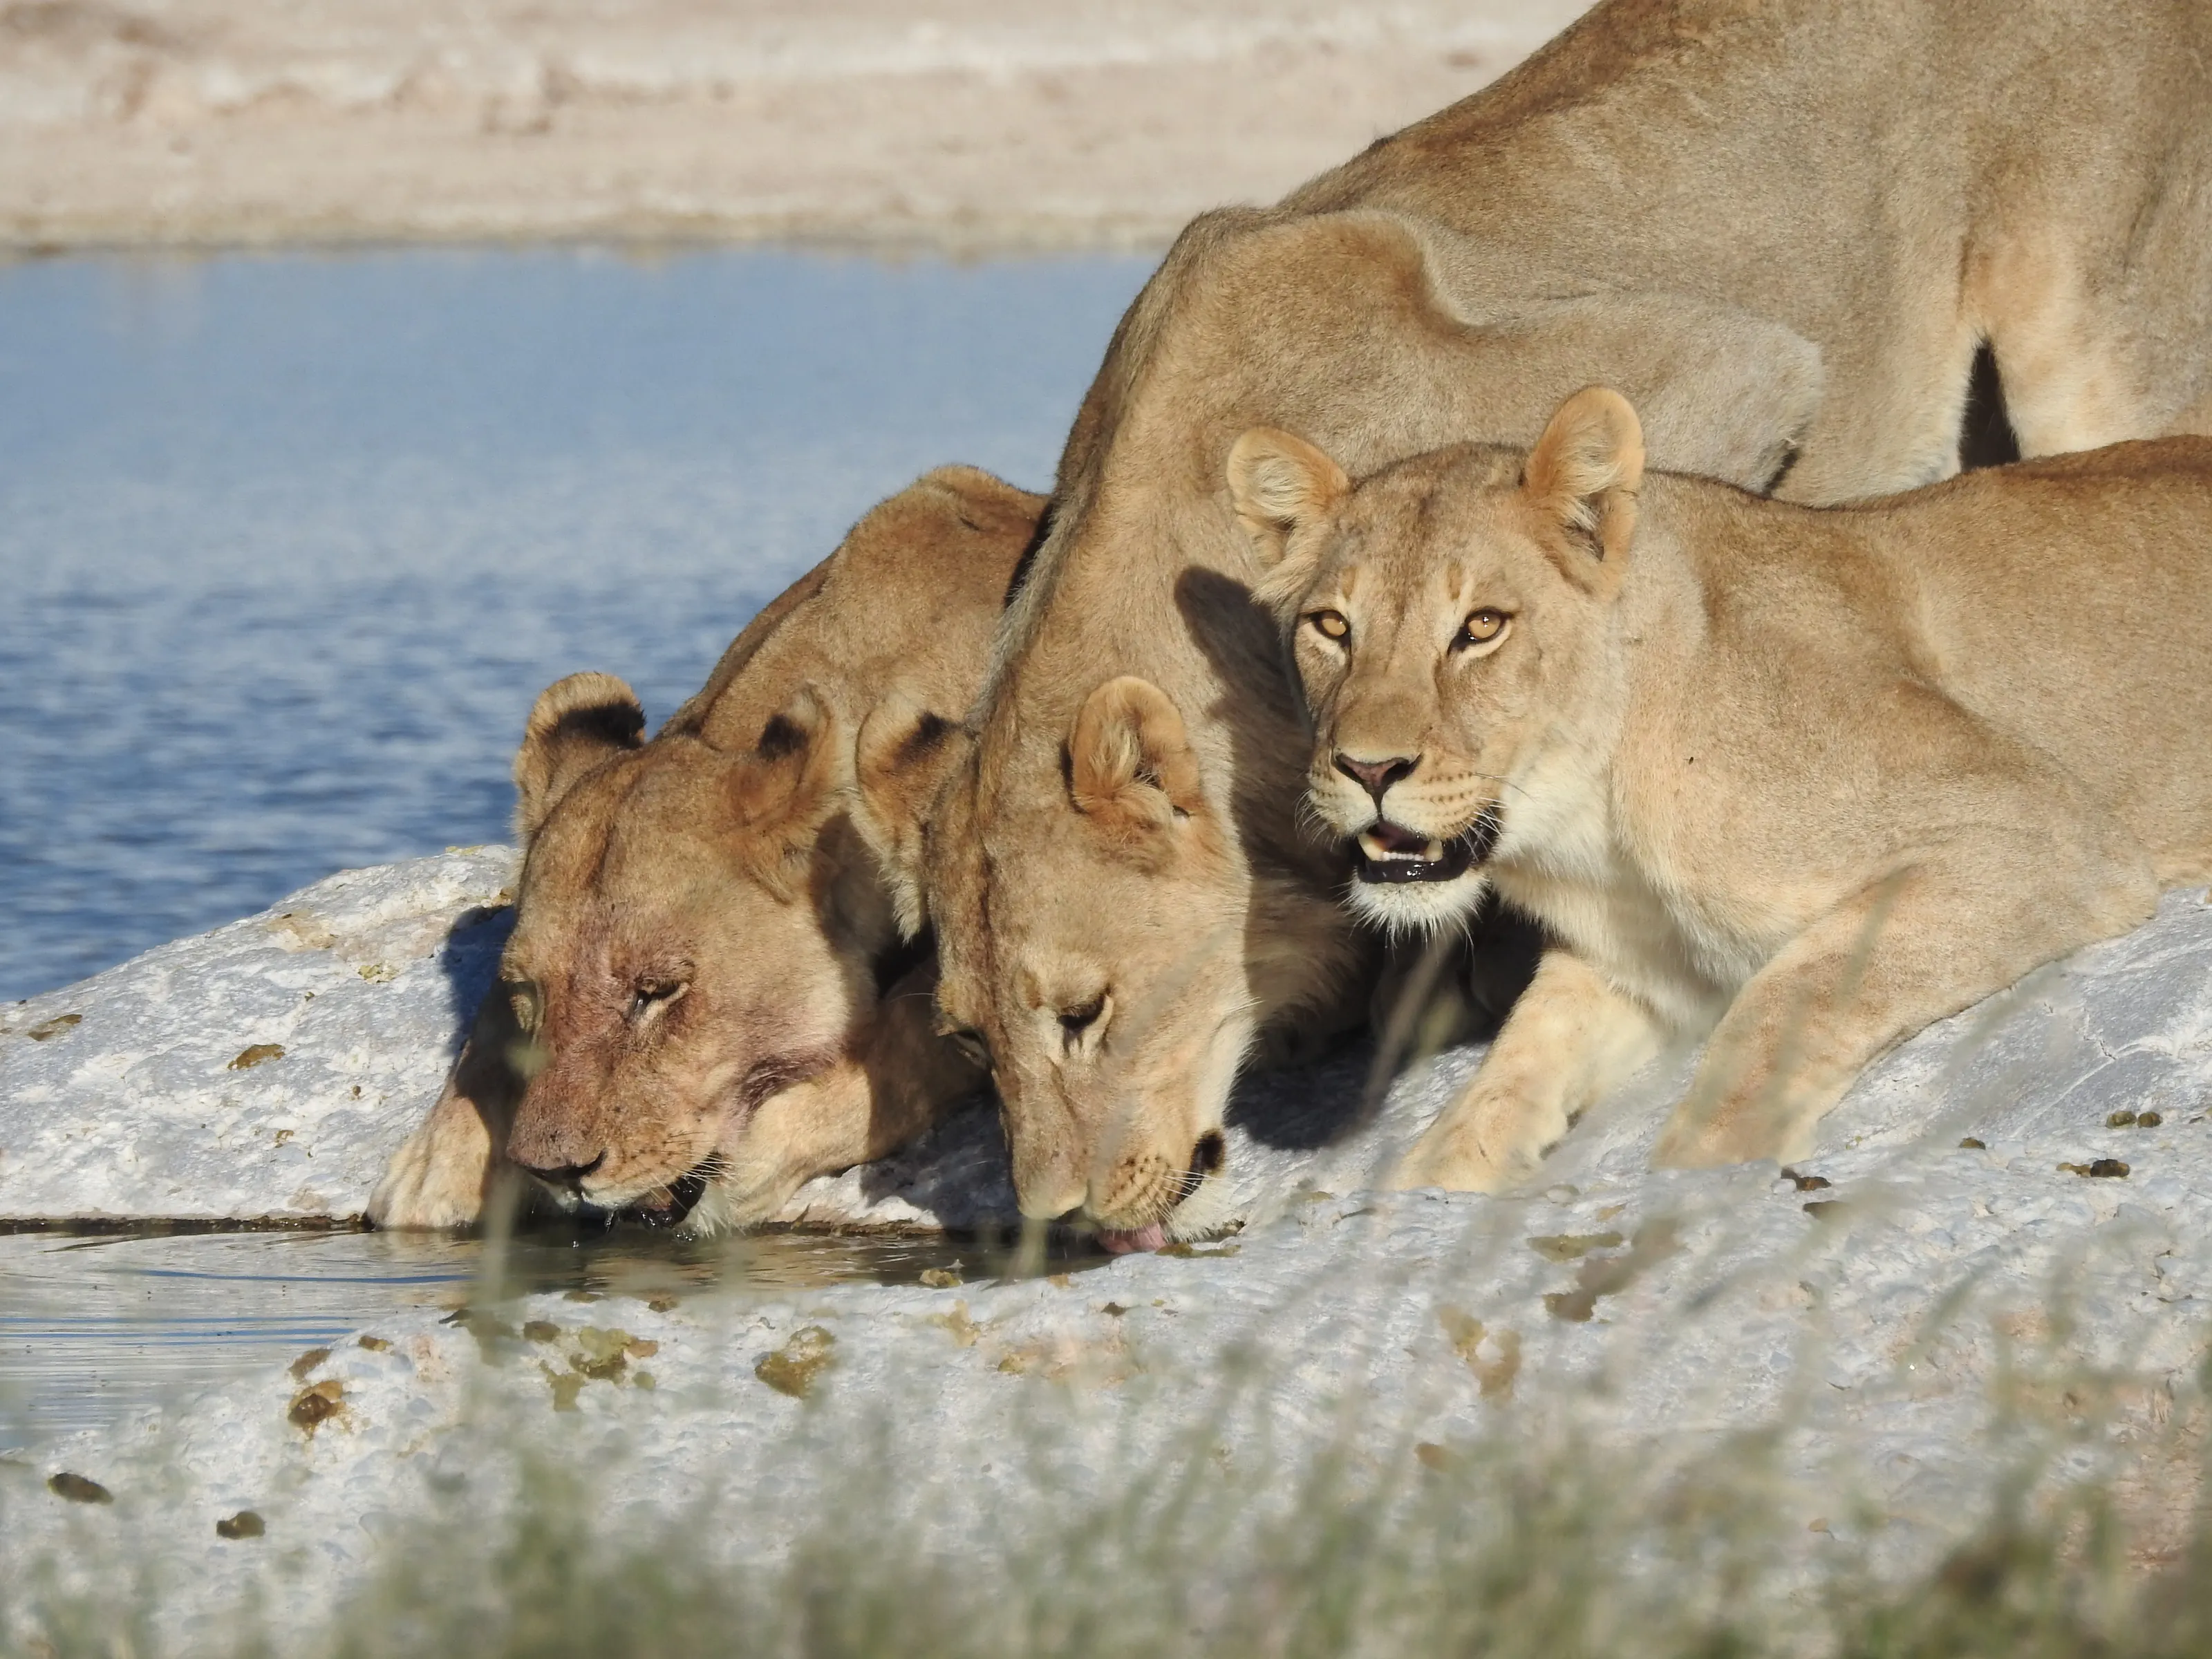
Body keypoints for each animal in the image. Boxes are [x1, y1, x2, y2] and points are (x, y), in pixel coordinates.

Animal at [367, 466, 1042, 1233]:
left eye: (659, 993)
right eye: (527, 994)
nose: (554, 1171)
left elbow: (909, 1040)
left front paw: (757, 1162)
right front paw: (435, 1163)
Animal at [1229, 387, 2212, 1189]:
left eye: (1480, 628)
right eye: (1331, 627)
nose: (1367, 769)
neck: (1590, 826)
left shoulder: (2040, 829)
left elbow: (1783, 1009)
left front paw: (1703, 1180)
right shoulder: (1636, 970)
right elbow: (1514, 1063)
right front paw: (1429, 1180)